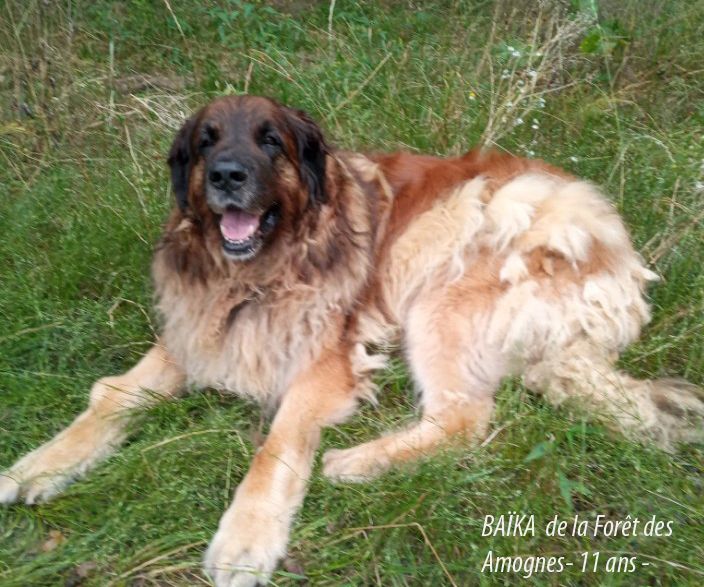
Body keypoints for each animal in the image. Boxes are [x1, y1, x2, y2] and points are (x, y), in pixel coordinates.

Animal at [1, 94, 704, 584]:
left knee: (465, 418)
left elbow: (277, 446)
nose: (226, 175)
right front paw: (40, 464)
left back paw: (356, 462)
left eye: (271, 141)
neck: (263, 269)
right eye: (205, 142)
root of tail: (619, 258)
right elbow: (111, 396)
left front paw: (246, 539)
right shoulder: (196, 330)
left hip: (439, 286)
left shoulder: (321, 364)